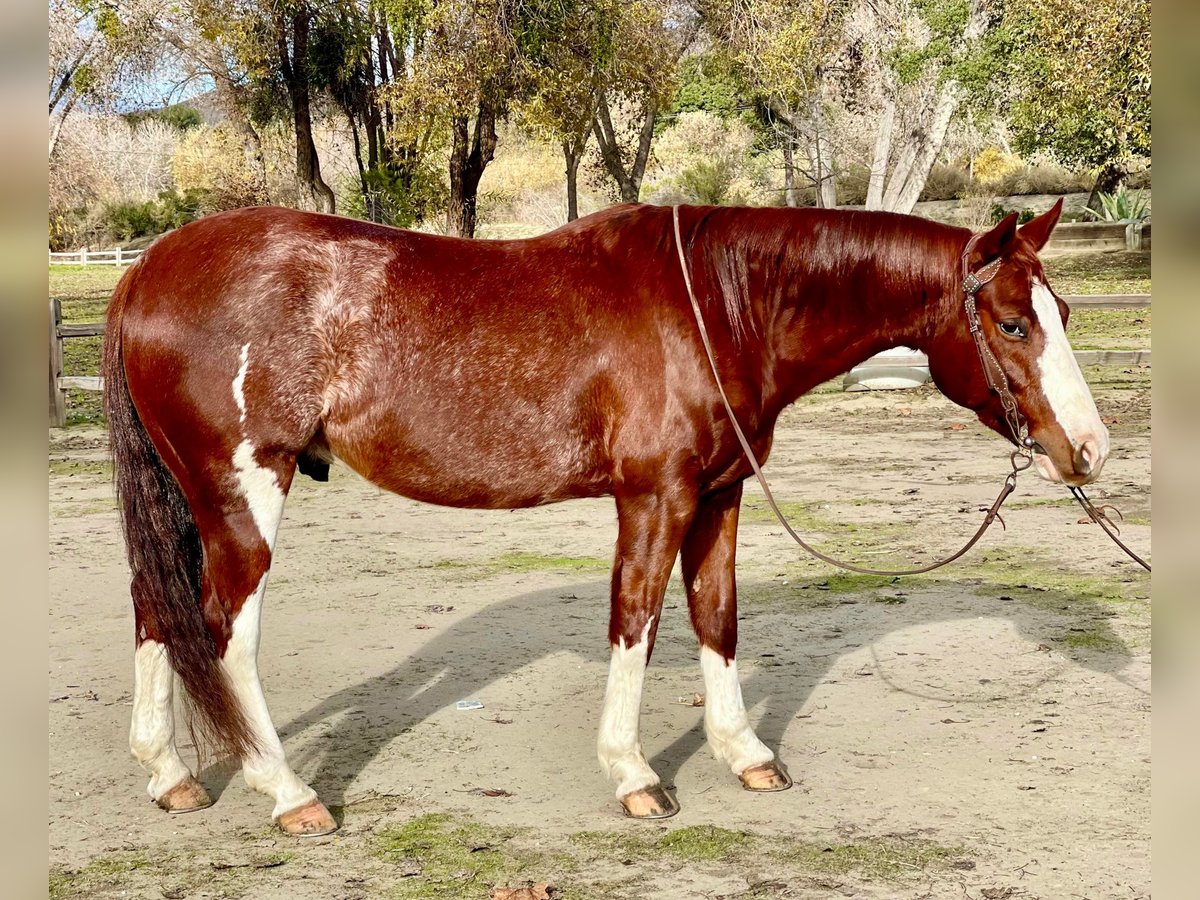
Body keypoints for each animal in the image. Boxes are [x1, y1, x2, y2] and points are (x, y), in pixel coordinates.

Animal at [100, 199, 1104, 840]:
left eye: (1061, 308)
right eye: (1013, 324)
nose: (1090, 450)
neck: (717, 305)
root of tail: (146, 269)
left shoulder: (721, 495)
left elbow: (715, 618)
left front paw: (745, 755)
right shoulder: (655, 497)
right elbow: (638, 620)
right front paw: (634, 776)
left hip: (187, 500)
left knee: (155, 609)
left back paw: (171, 775)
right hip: (244, 494)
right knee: (224, 632)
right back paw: (288, 793)